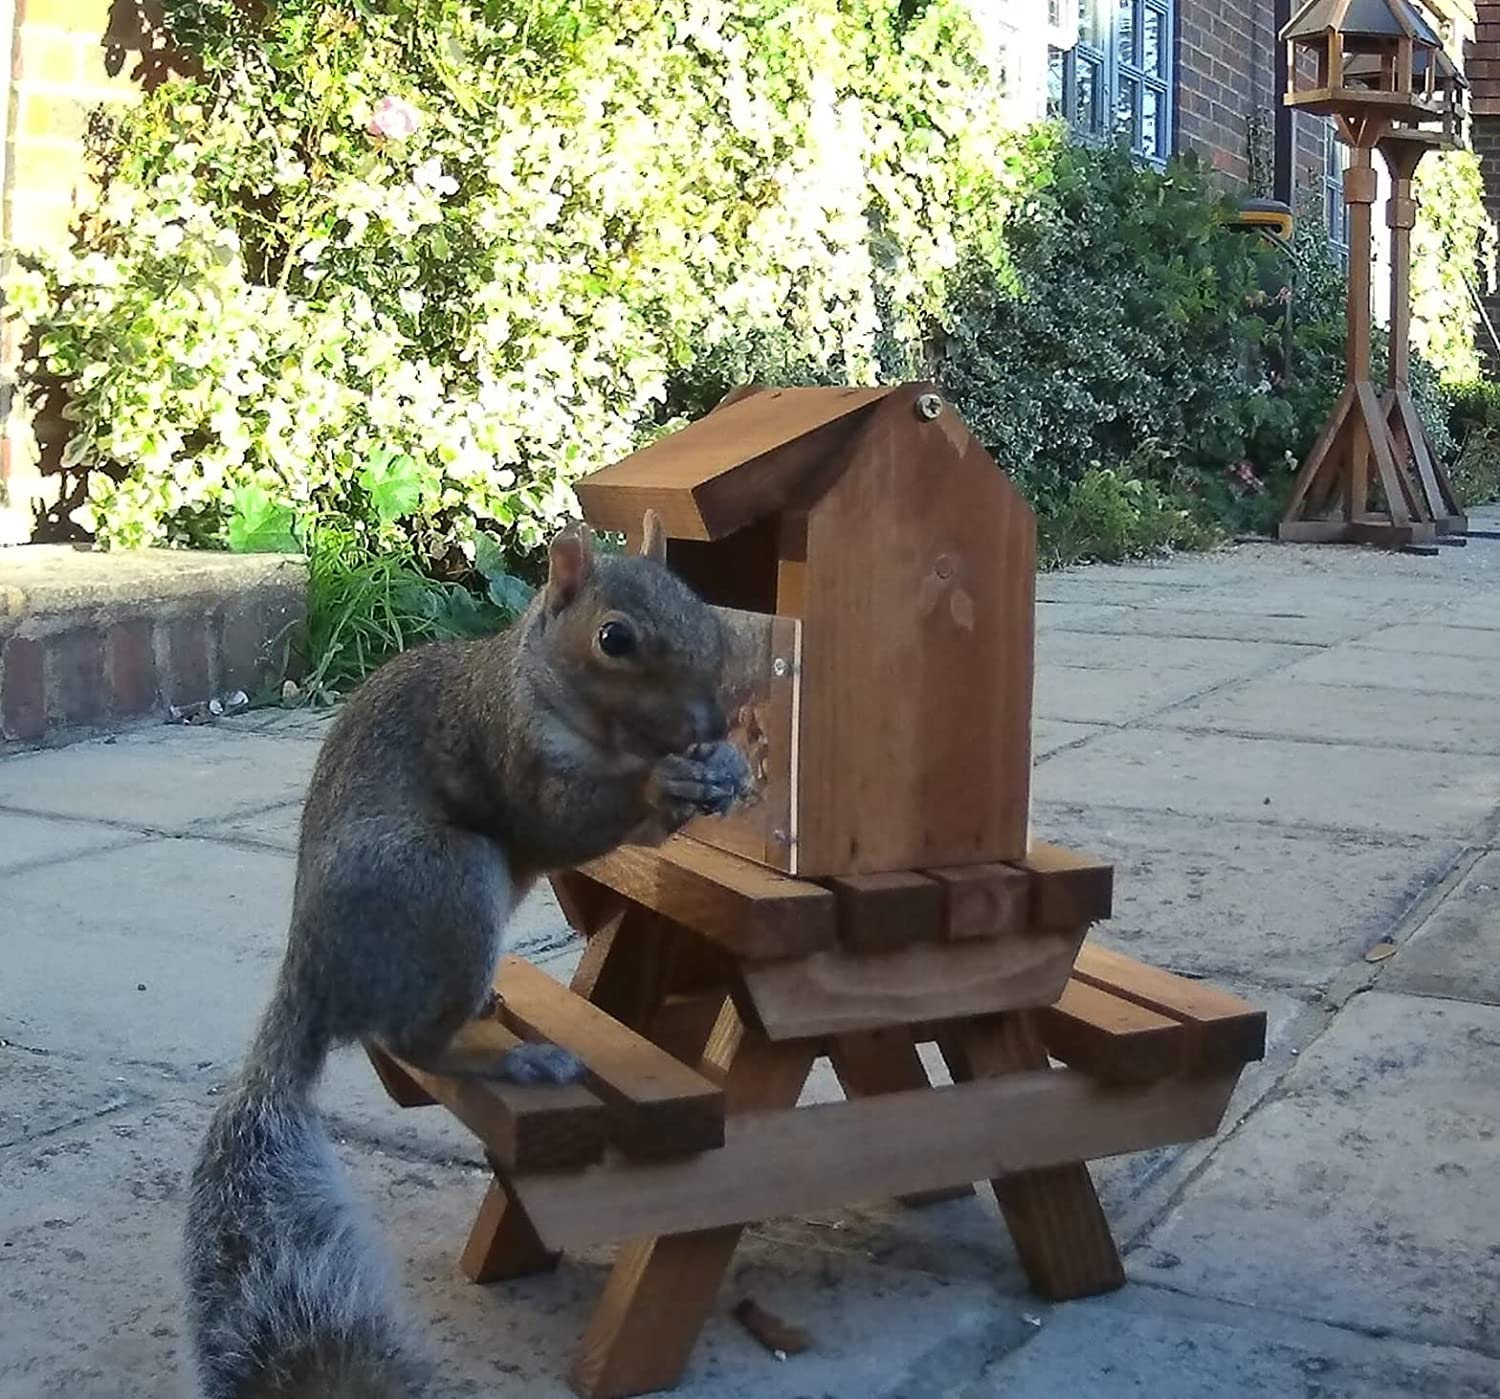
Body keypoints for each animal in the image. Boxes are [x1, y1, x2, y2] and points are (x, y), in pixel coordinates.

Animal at [183, 511, 751, 1399]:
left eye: (704, 609)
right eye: (615, 639)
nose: (708, 725)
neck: (539, 685)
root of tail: (314, 978)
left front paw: (726, 770)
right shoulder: (509, 749)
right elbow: (565, 821)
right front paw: (662, 784)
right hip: (448, 886)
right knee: (417, 1041)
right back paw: (513, 1060)